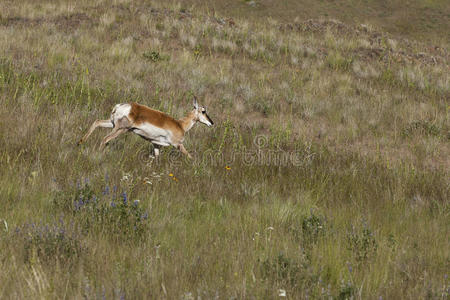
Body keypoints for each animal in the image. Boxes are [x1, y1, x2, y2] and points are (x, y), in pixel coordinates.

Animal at [78, 96, 214, 158]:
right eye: (203, 111)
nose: (211, 123)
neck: (180, 124)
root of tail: (122, 105)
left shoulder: (156, 144)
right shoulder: (178, 145)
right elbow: (190, 156)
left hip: (112, 124)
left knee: (97, 122)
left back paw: (80, 142)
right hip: (121, 129)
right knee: (105, 139)